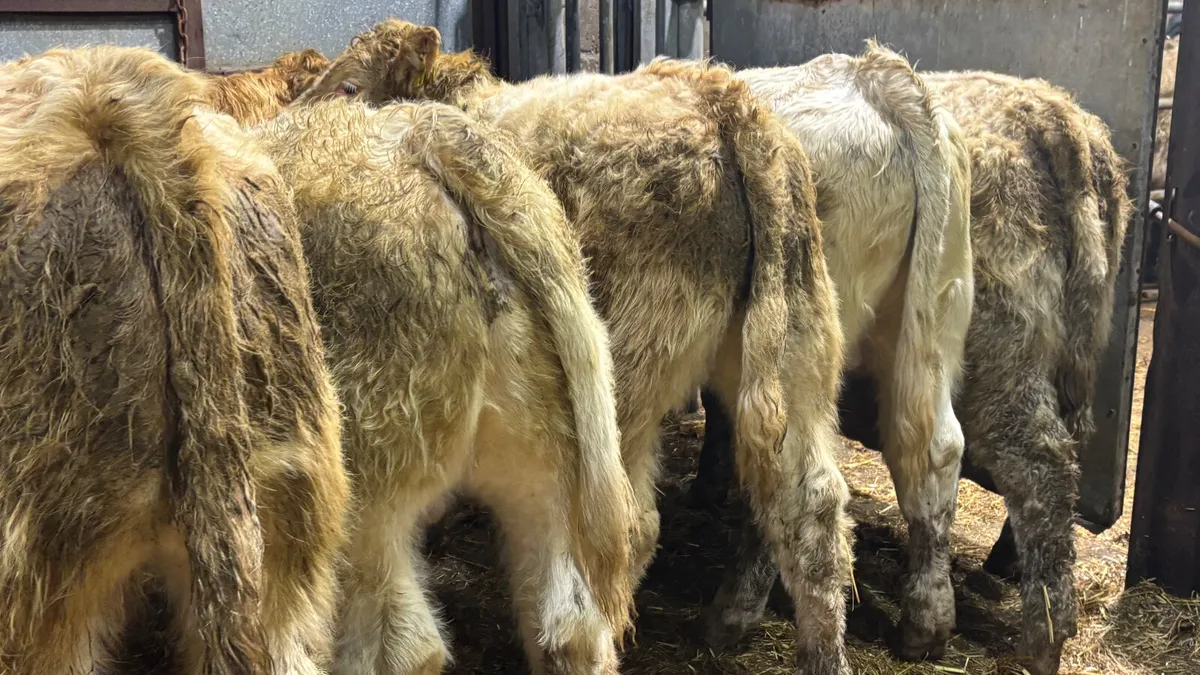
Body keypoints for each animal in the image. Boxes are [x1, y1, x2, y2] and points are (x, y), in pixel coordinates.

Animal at [300, 19, 854, 675]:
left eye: (349, 85)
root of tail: (725, 101)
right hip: (798, 353)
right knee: (812, 511)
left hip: (626, 387)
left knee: (631, 527)